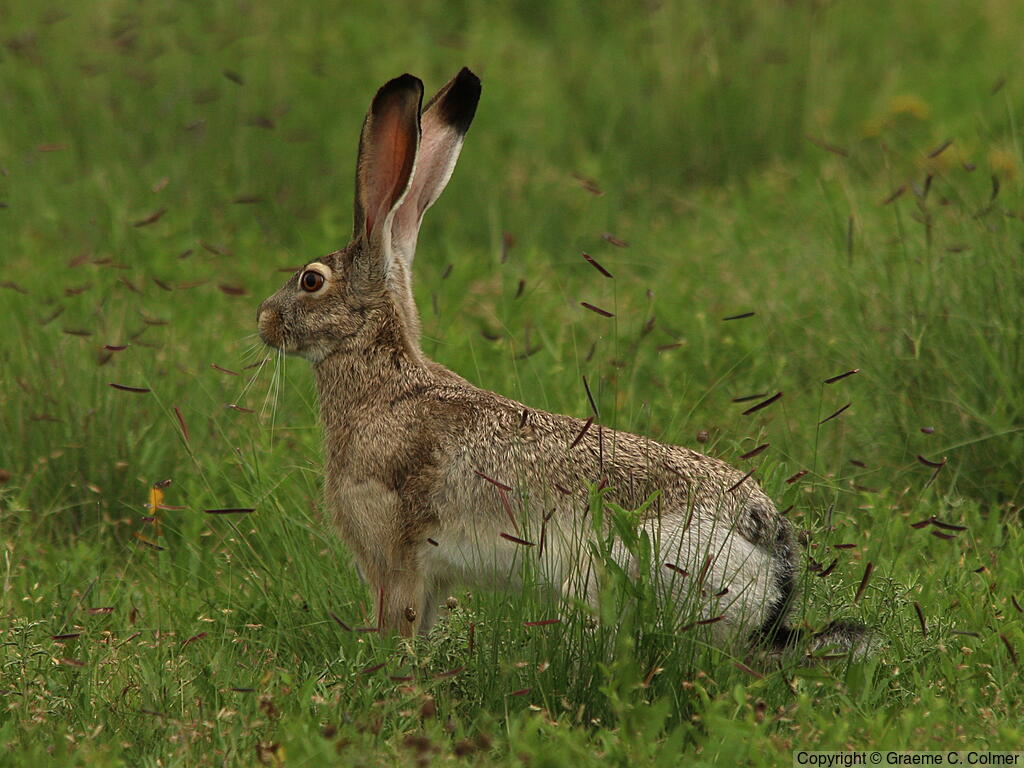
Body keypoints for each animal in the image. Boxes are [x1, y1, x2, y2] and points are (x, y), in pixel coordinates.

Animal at [257, 68, 868, 653]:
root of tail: (771, 555)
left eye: (311, 281)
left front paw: (391, 670)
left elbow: (399, 623)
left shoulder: (395, 555)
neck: (383, 373)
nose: (263, 321)